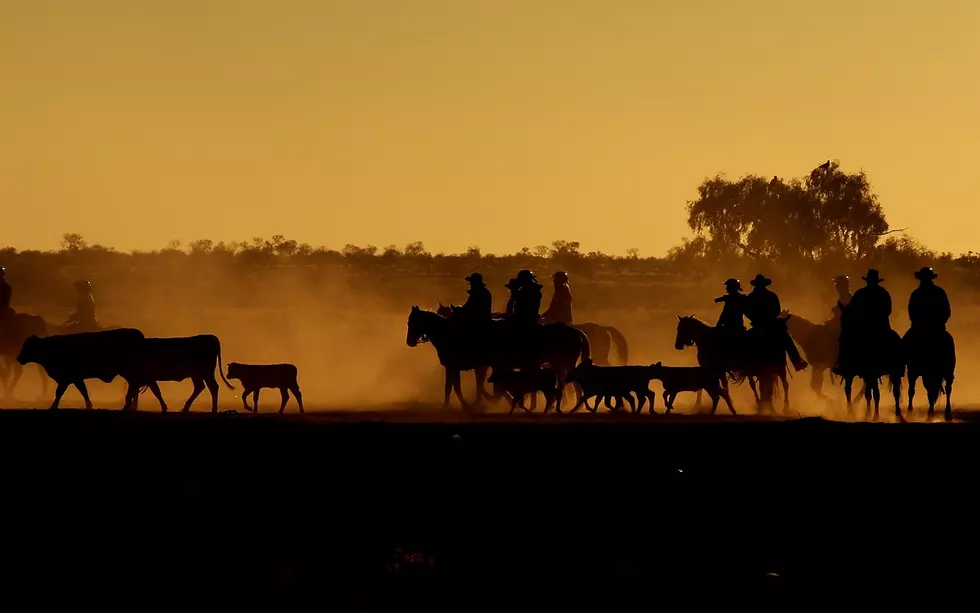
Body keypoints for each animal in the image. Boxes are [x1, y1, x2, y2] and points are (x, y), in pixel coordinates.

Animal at [16, 328, 145, 408]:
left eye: (28, 346)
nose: (18, 358)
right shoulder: (76, 379)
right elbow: (83, 391)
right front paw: (89, 406)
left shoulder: (66, 379)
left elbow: (59, 393)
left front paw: (53, 406)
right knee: (134, 387)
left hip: (129, 371)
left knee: (133, 387)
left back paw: (128, 405)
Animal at [406, 306, 588, 412]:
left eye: (412, 322)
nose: (409, 342)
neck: (449, 333)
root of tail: (576, 332)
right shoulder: (461, 367)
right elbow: (453, 386)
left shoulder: (456, 366)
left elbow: (455, 387)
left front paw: (467, 404)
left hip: (560, 364)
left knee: (567, 384)